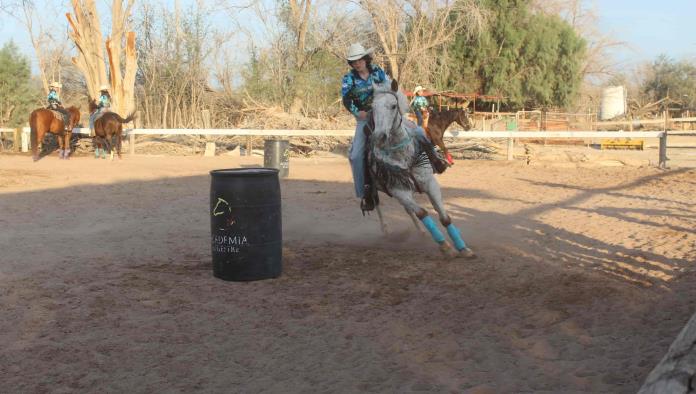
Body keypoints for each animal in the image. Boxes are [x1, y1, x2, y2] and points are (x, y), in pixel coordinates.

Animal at [368, 79, 476, 258]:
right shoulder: (437, 141)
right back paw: (385, 230)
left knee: (407, 210)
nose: (469, 127)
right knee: (377, 206)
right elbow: (445, 149)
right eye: (465, 115)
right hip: (374, 190)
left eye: (393, 106)